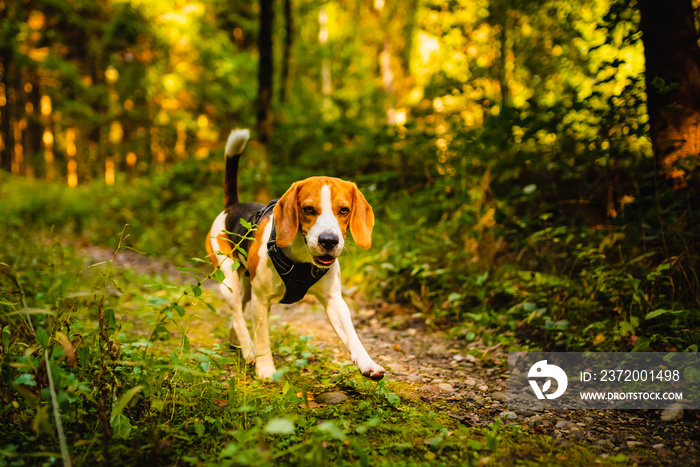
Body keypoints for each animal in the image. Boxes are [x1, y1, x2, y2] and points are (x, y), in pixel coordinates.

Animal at [205, 130, 386, 382]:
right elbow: (263, 337)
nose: (329, 241)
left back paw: (238, 342)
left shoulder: (334, 300)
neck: (302, 259)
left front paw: (367, 362)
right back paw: (249, 349)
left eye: (344, 210)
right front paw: (266, 370)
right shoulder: (261, 300)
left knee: (239, 310)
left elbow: (352, 335)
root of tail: (232, 206)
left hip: (247, 285)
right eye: (308, 209)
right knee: (238, 315)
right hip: (228, 279)